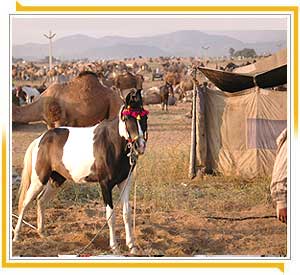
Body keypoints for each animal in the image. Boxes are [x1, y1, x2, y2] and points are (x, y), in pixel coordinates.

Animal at [13, 89, 149, 256]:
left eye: (144, 117)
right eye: (128, 118)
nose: (140, 145)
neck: (111, 143)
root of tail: (41, 139)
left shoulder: (124, 183)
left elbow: (127, 214)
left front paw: (132, 246)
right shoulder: (105, 185)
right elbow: (110, 216)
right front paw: (114, 247)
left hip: (57, 180)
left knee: (41, 201)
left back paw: (42, 233)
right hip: (40, 180)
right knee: (25, 202)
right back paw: (17, 236)